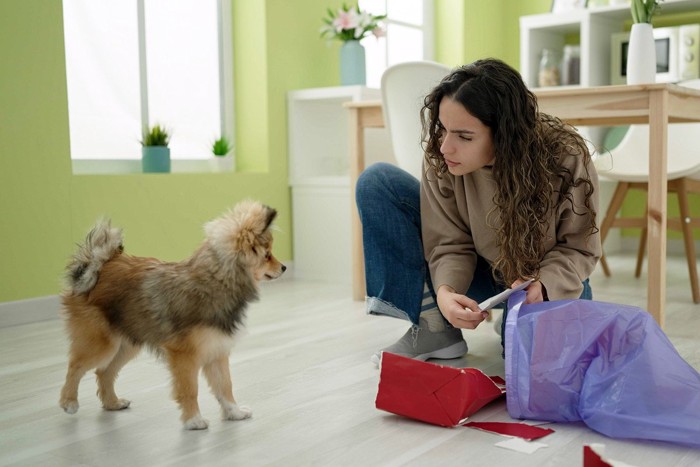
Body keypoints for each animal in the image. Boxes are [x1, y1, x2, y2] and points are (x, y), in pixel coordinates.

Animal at [58, 199, 286, 430]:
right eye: (267, 255)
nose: (284, 267)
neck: (215, 280)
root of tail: (96, 265)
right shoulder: (184, 356)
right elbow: (190, 389)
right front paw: (194, 420)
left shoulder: (217, 351)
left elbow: (225, 386)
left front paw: (234, 413)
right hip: (103, 344)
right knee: (75, 366)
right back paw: (69, 402)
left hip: (127, 343)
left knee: (104, 372)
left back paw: (113, 403)